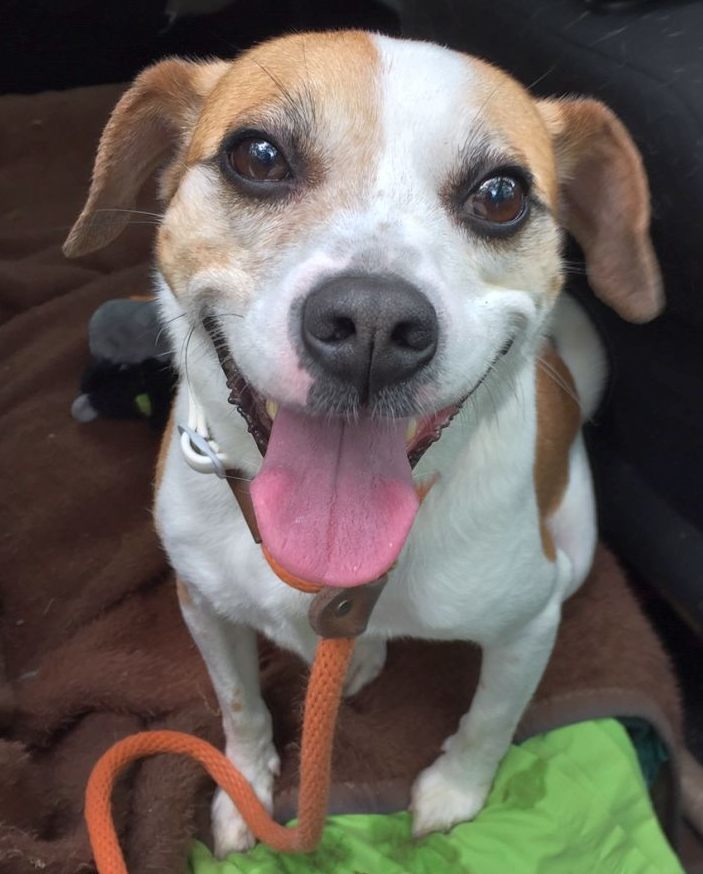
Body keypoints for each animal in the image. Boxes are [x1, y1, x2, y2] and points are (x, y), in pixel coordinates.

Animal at [63, 32, 664, 852]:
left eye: (500, 195)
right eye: (257, 156)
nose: (373, 325)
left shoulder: (530, 622)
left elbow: (490, 721)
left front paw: (454, 794)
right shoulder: (202, 604)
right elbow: (239, 707)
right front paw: (245, 790)